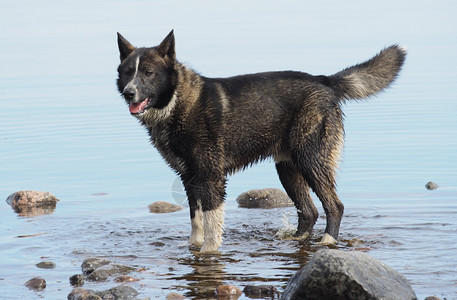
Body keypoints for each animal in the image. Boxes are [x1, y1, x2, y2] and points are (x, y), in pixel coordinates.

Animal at [116, 29, 404, 253]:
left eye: (149, 73)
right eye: (128, 72)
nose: (129, 93)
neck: (177, 103)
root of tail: (323, 81)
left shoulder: (210, 177)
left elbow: (211, 224)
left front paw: (208, 253)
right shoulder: (189, 177)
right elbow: (196, 220)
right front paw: (193, 247)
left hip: (311, 160)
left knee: (335, 206)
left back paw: (327, 242)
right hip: (288, 169)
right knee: (309, 212)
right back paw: (296, 239)